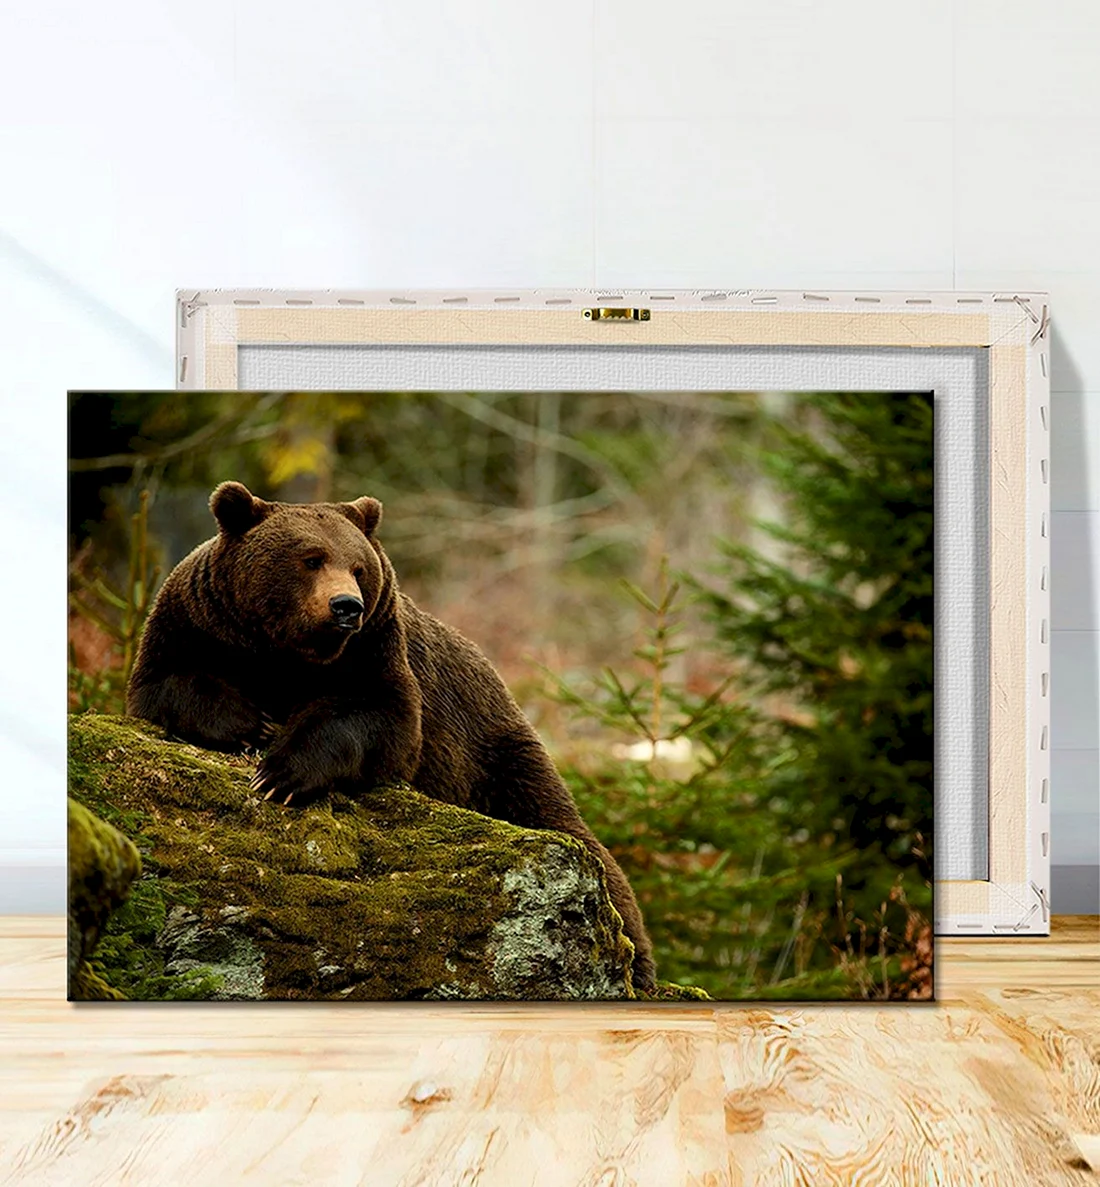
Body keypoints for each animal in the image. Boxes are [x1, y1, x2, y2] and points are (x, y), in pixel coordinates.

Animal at [126, 480, 656, 991]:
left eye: (359, 567)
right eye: (311, 558)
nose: (346, 607)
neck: (289, 654)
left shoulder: (376, 650)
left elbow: (377, 717)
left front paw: (281, 772)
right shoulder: (197, 622)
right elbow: (166, 683)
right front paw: (252, 724)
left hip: (495, 755)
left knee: (578, 841)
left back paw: (637, 961)